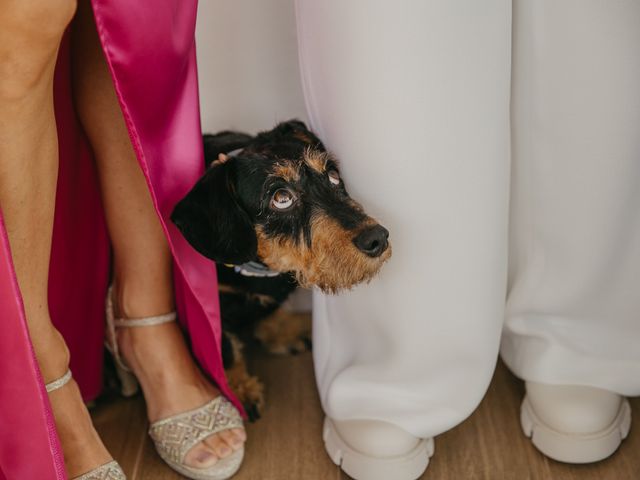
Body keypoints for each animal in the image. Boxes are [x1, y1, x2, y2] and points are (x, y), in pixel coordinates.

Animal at [170, 120, 390, 420]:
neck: (260, 269)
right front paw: (241, 389)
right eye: (281, 197)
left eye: (333, 175)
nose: (378, 239)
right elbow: (224, 346)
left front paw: (282, 331)